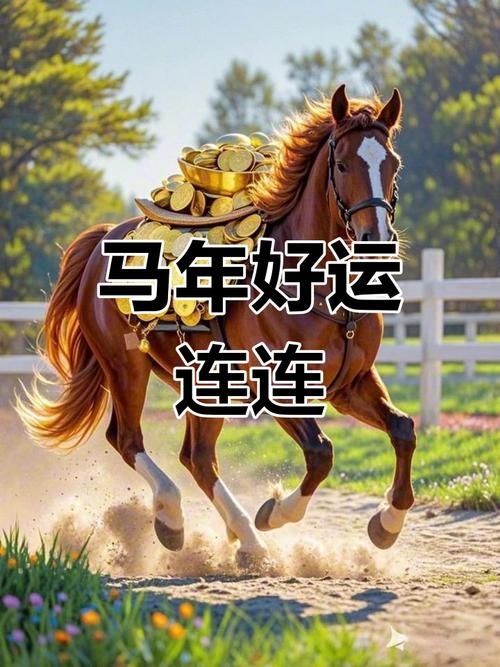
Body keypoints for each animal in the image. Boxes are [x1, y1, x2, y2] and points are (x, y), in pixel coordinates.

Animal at [16, 85, 416, 566]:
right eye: (341, 164)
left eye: (392, 163)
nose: (377, 241)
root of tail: (102, 242)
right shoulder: (276, 388)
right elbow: (321, 453)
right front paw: (273, 513)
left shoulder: (350, 383)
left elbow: (403, 430)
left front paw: (386, 524)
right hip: (126, 368)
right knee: (130, 440)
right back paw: (188, 523)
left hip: (204, 386)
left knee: (198, 458)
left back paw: (240, 536)